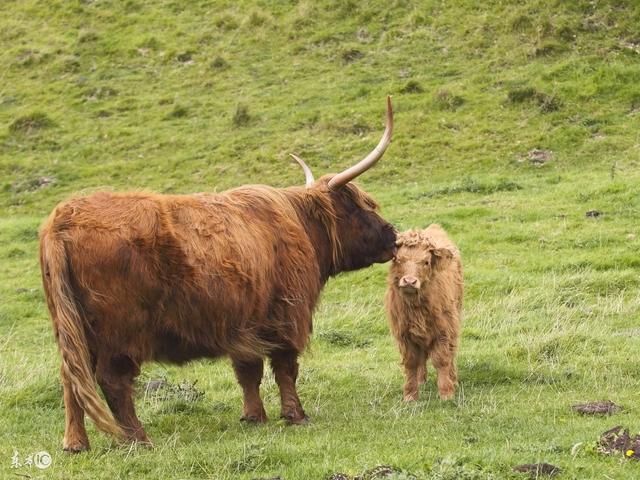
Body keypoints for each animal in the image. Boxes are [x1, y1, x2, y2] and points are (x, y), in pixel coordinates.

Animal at [38, 96, 396, 450]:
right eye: (358, 207)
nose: (392, 235)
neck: (300, 227)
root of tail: (64, 217)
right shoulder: (288, 316)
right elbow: (285, 369)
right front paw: (296, 415)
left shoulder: (245, 324)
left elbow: (248, 372)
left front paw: (253, 416)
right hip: (119, 334)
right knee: (112, 380)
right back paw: (138, 439)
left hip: (72, 329)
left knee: (72, 377)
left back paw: (75, 443)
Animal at [384, 225, 460, 402]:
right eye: (398, 260)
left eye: (426, 262)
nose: (409, 281)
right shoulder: (404, 334)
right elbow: (411, 362)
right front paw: (410, 395)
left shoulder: (443, 331)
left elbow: (442, 360)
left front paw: (447, 393)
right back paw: (421, 380)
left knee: (451, 353)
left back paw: (453, 379)